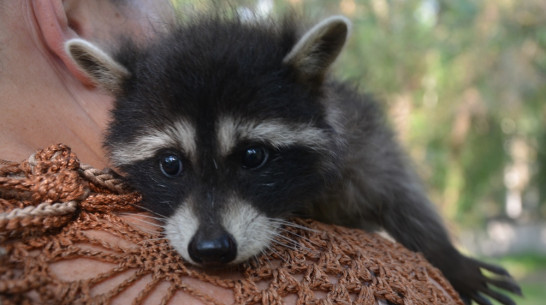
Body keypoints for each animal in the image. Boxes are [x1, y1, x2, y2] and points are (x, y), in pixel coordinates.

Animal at [65, 12, 520, 304]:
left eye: (253, 156)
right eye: (170, 164)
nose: (211, 248)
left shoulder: (360, 136)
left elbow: (397, 189)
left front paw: (448, 257)